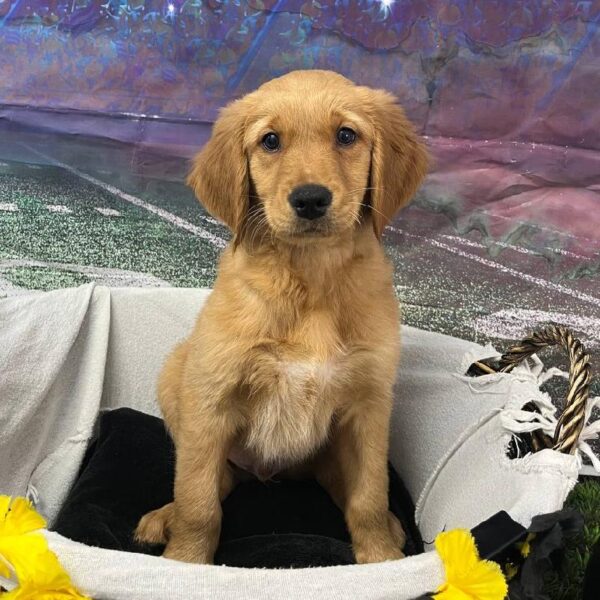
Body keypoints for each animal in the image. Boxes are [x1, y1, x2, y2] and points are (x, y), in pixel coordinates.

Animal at [136, 68, 426, 564]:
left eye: (346, 135)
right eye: (270, 141)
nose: (310, 200)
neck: (310, 279)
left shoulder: (368, 407)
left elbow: (369, 496)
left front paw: (382, 561)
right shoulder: (211, 398)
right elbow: (198, 502)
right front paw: (184, 563)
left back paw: (392, 525)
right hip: (176, 371)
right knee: (215, 481)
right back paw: (163, 517)